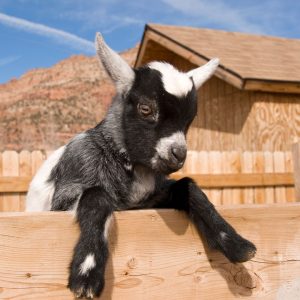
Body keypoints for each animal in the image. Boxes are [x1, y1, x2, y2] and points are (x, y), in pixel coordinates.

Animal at [25, 33, 256, 298]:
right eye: (146, 108)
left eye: (190, 119)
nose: (178, 154)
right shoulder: (67, 193)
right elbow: (96, 197)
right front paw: (87, 273)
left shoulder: (144, 204)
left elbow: (188, 187)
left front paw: (237, 244)